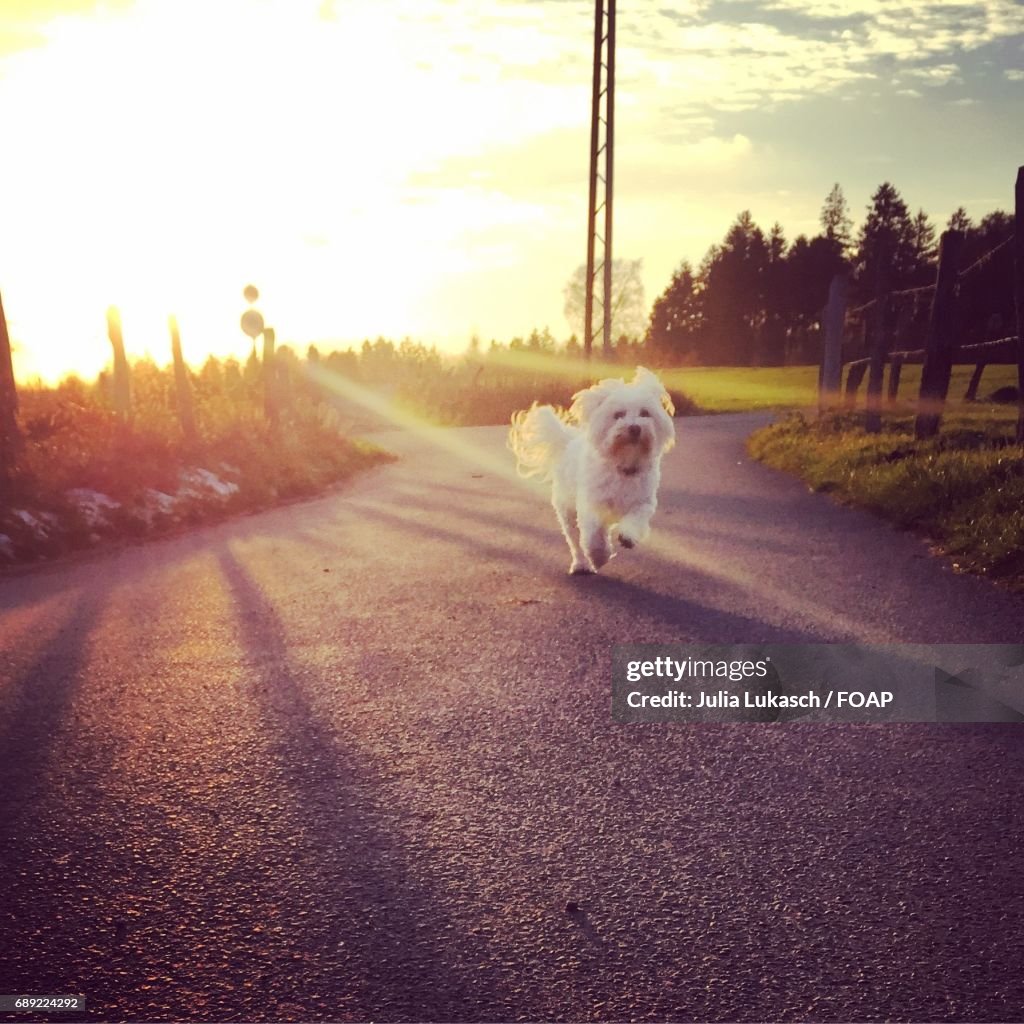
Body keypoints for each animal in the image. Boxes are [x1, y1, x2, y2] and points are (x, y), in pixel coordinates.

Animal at [507, 366, 675, 577]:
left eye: (645, 413)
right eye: (618, 414)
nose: (635, 428)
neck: (623, 464)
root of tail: (568, 442)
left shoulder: (643, 503)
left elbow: (636, 520)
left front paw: (628, 536)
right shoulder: (592, 507)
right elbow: (594, 538)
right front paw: (598, 558)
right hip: (568, 513)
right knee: (575, 542)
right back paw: (580, 564)